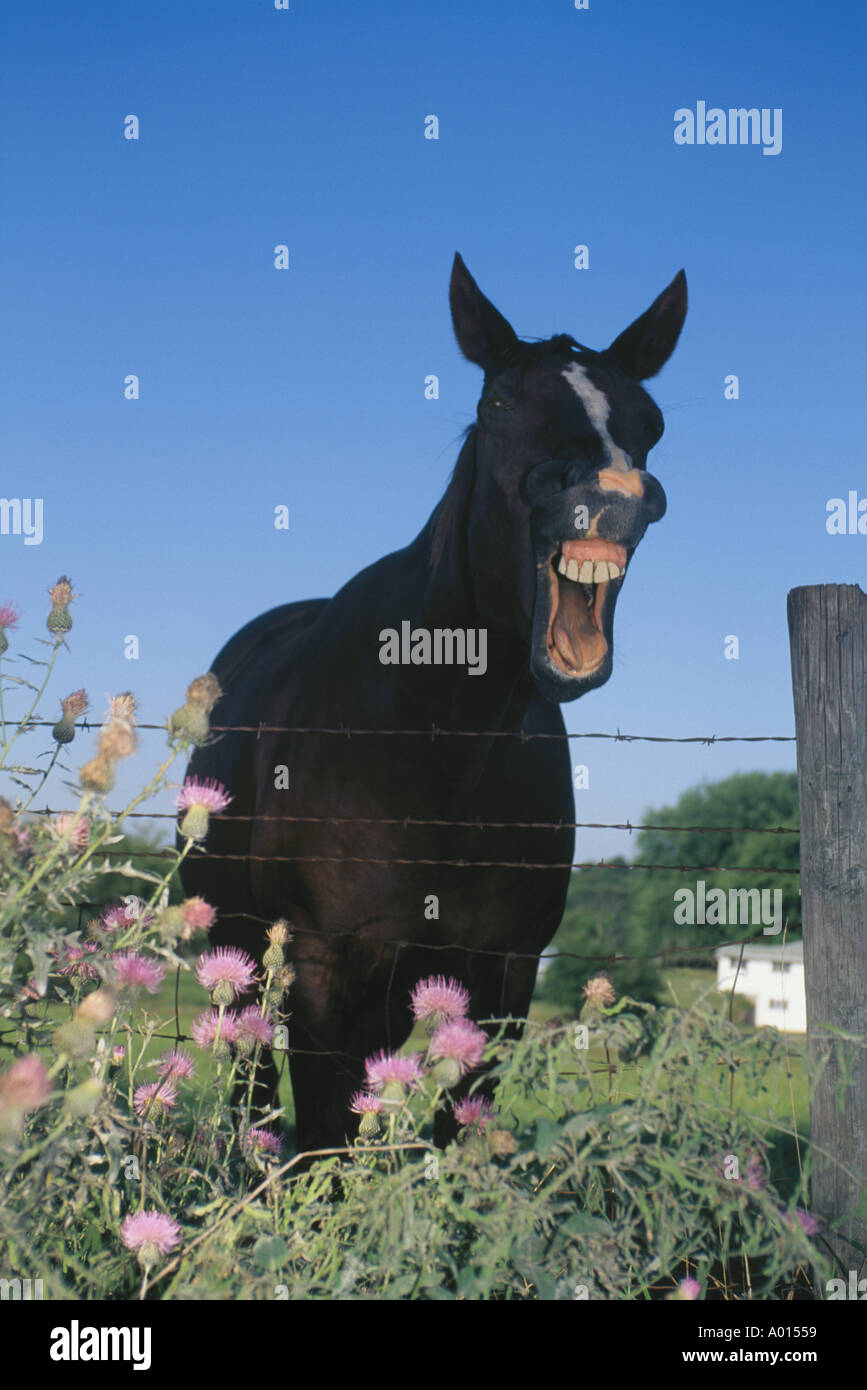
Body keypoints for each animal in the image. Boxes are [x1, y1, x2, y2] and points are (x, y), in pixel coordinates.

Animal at [179, 252, 686, 1150]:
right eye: (496, 404)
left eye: (648, 419)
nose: (611, 493)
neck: (438, 738)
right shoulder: (323, 961)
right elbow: (321, 1139)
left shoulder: (500, 976)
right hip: (240, 954)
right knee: (253, 1092)